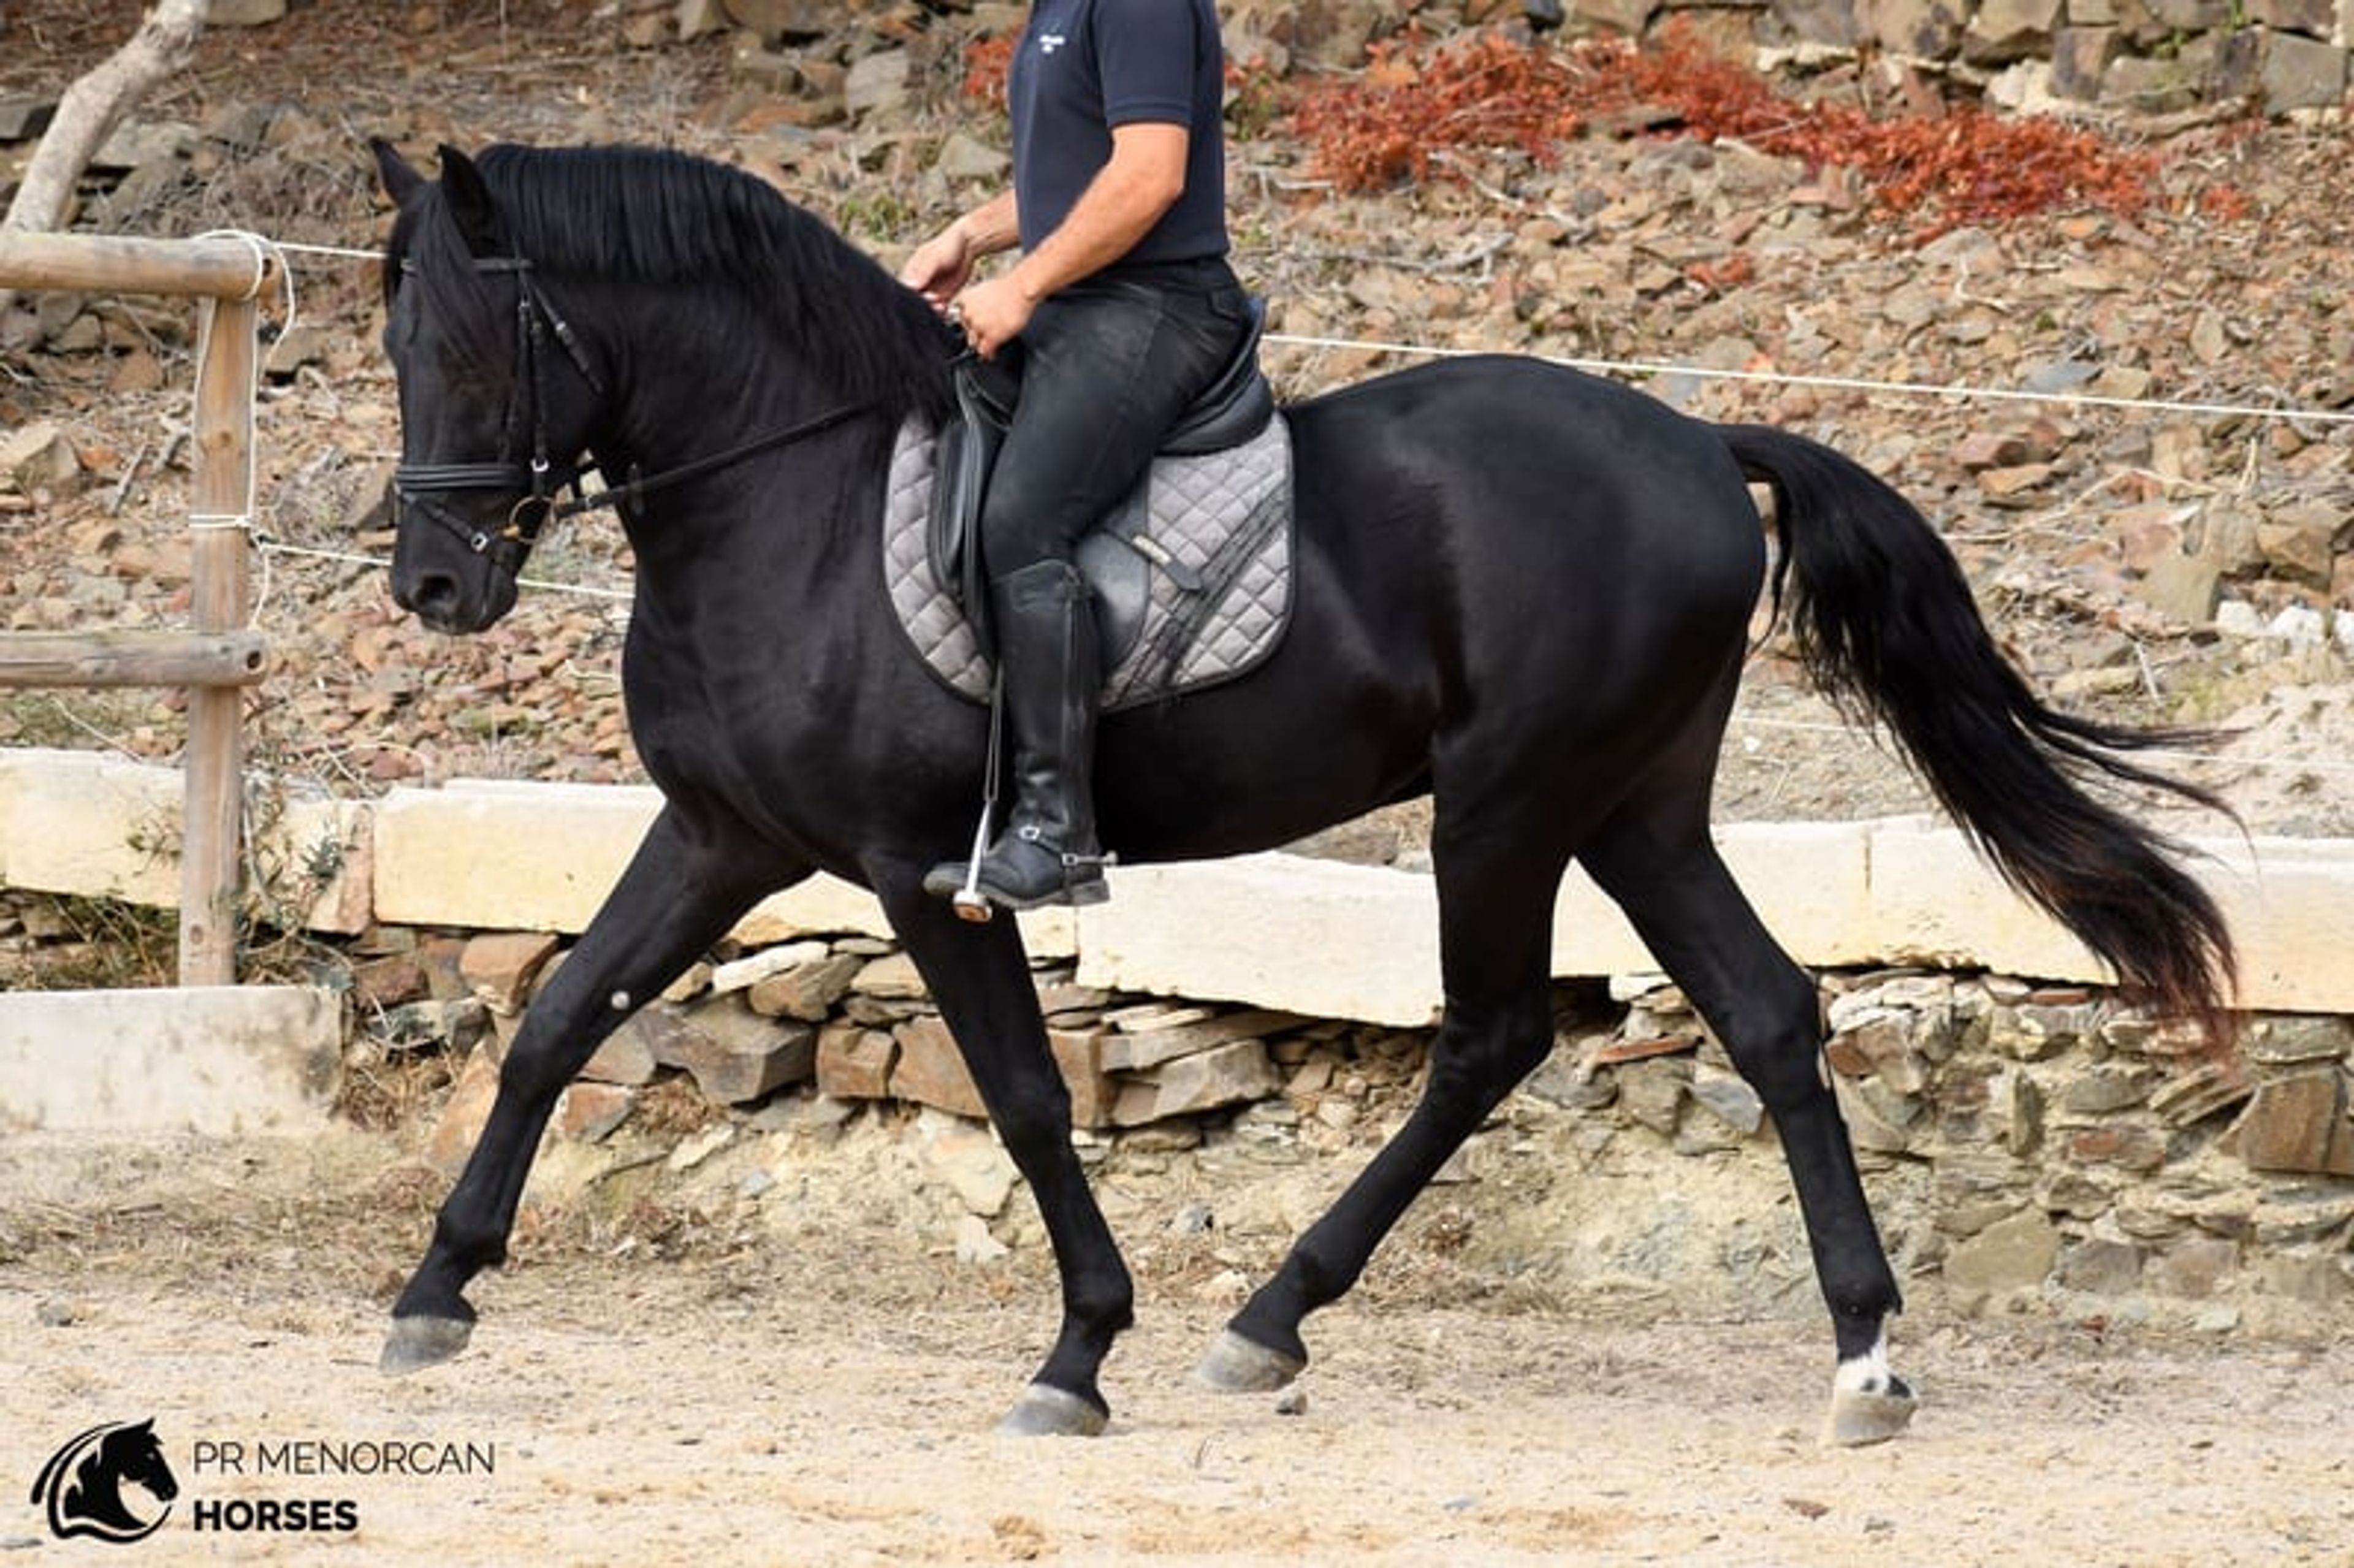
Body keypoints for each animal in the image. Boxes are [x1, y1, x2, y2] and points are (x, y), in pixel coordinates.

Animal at [366, 139, 2233, 1442]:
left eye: (467, 347)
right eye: (396, 342)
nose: (433, 589)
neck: (793, 502)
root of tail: (1704, 444)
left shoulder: (918, 871)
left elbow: (1025, 1096)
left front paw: (1078, 1349)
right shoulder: (722, 835)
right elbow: (555, 1018)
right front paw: (436, 1286)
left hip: (1509, 803)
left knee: (1493, 1033)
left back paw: (1269, 1318)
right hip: (1633, 806)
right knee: (1771, 1015)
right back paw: (1861, 1351)